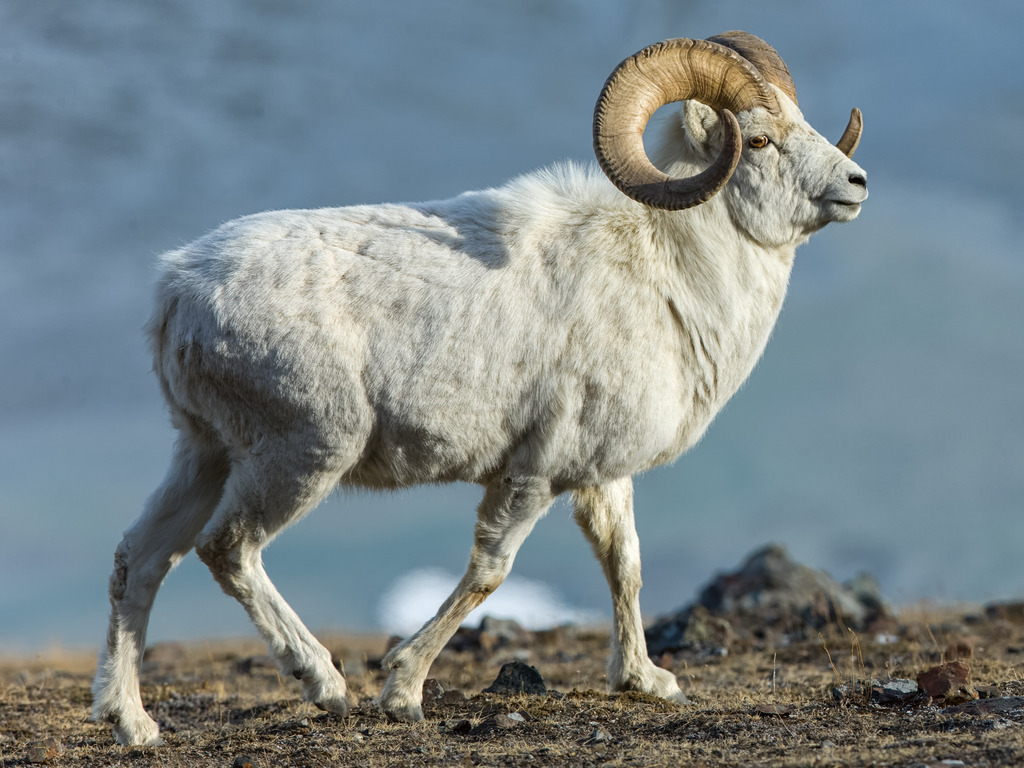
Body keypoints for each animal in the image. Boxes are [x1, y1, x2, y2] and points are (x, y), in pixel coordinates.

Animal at [91, 31, 867, 745]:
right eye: (759, 139)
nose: (857, 184)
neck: (669, 271)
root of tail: (178, 290)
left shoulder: (600, 477)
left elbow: (626, 565)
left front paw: (647, 682)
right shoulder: (531, 474)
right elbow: (490, 574)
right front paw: (401, 692)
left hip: (205, 453)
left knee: (141, 559)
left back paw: (134, 723)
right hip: (302, 455)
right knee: (229, 550)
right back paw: (325, 685)